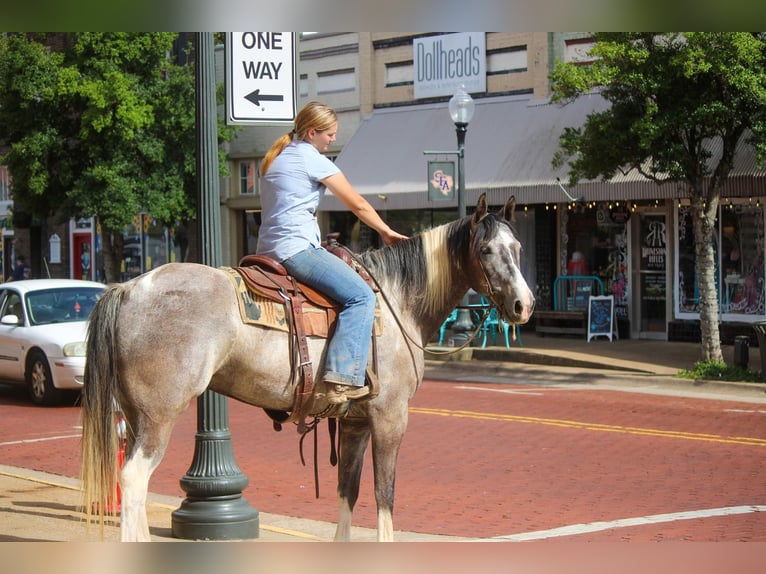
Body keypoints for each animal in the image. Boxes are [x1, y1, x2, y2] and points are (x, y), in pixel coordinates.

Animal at [78, 195, 536, 544]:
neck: (397, 300)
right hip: (158, 416)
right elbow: (384, 494)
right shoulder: (390, 416)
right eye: (485, 250)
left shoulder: (354, 421)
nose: (524, 305)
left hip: (137, 416)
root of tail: (127, 288)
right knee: (133, 481)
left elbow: (348, 491)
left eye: (518, 248)